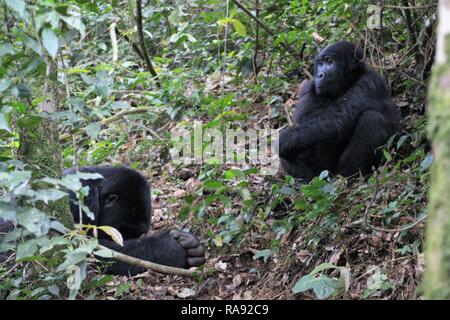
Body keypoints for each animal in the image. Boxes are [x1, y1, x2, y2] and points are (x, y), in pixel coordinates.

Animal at [278, 41, 400, 181]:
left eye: (329, 61)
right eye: (320, 63)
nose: (319, 75)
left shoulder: (370, 83)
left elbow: (338, 119)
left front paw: (285, 139)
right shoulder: (308, 87)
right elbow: (302, 123)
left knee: (371, 119)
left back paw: (349, 177)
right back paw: (305, 180)